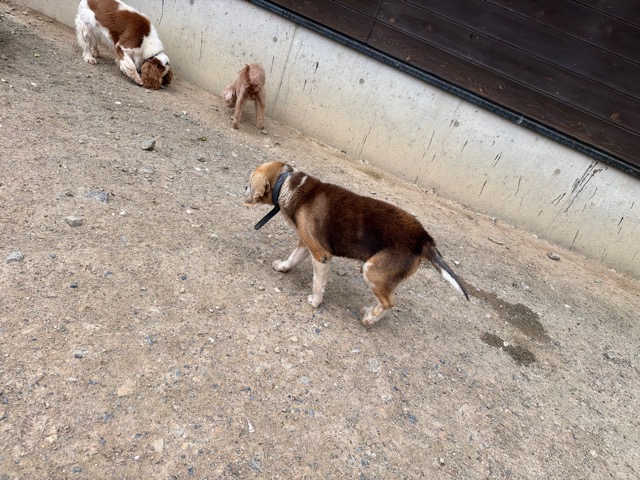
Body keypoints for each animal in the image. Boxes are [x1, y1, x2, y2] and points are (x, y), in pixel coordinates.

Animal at [244, 161, 469, 326]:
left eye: (250, 178)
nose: (244, 186)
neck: (288, 184)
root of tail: (424, 238)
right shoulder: (306, 244)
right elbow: (293, 258)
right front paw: (283, 266)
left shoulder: (321, 255)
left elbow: (317, 284)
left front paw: (315, 302)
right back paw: (370, 310)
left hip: (371, 270)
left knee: (390, 302)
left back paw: (369, 319)